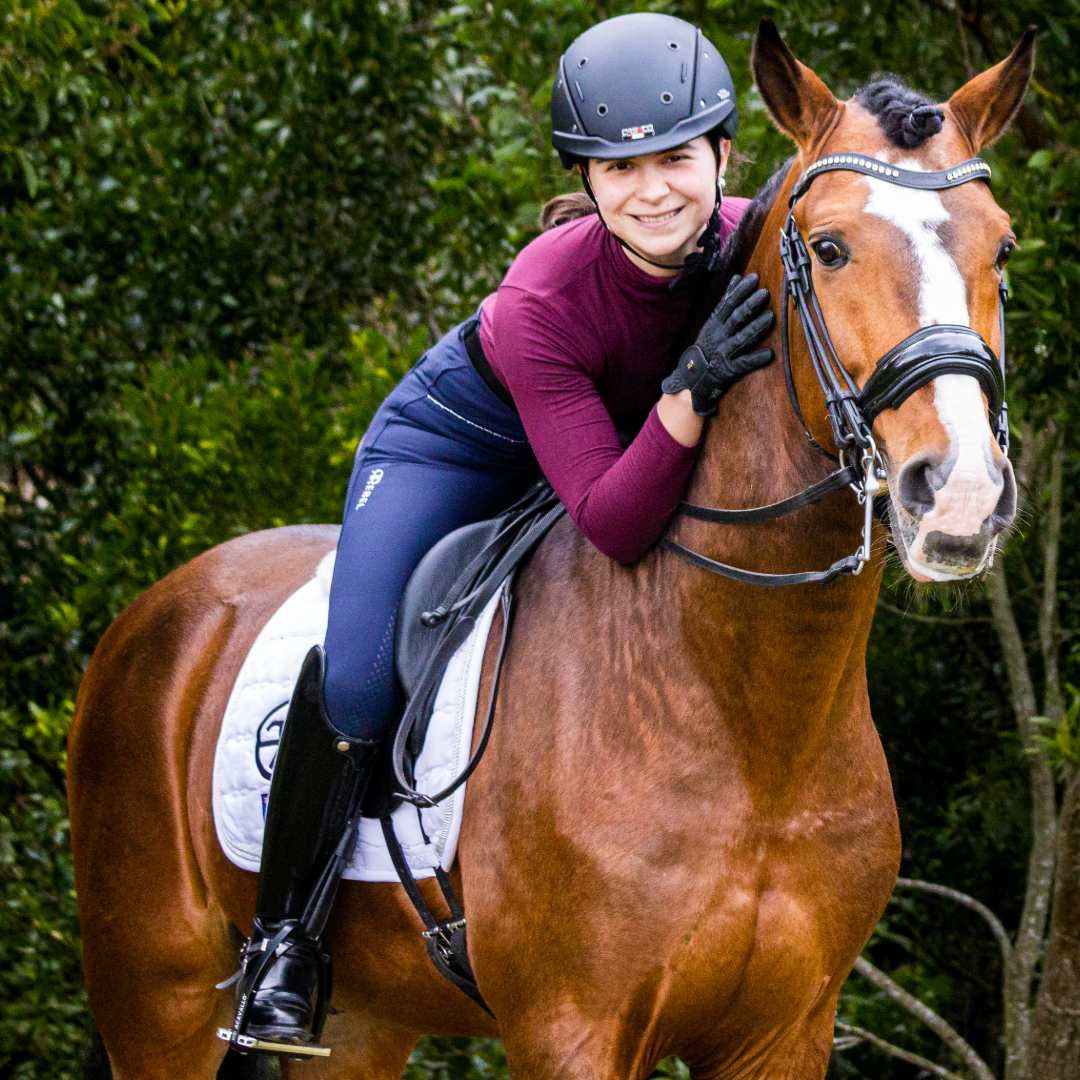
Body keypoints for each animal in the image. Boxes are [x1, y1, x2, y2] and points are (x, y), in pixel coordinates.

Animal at [68, 21, 1032, 1080]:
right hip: (157, 997)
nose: (961, 491)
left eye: (1003, 247)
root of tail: (155, 615)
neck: (750, 717)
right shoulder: (570, 1030)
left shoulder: (785, 1034)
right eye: (828, 248)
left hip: (363, 1020)